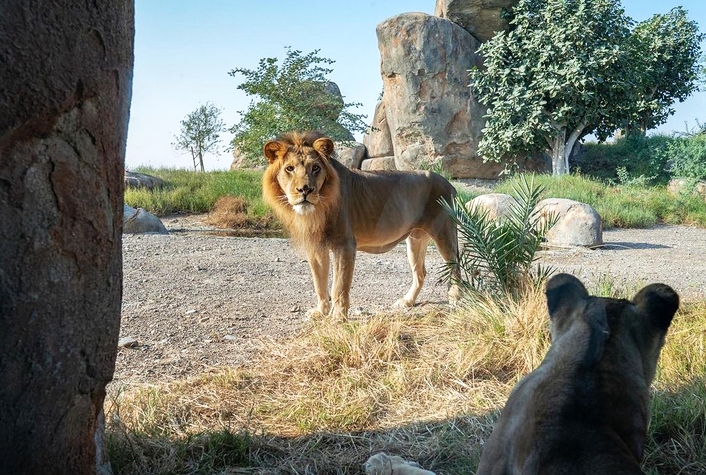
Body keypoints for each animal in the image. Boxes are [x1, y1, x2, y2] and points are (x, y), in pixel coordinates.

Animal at [262, 132, 460, 322]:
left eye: (316, 168)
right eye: (290, 168)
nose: (305, 190)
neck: (317, 209)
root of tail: (449, 183)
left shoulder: (345, 244)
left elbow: (339, 286)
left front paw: (338, 317)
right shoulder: (316, 247)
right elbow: (319, 282)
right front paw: (321, 311)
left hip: (444, 232)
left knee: (454, 267)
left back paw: (455, 300)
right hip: (415, 239)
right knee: (420, 272)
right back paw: (407, 301)